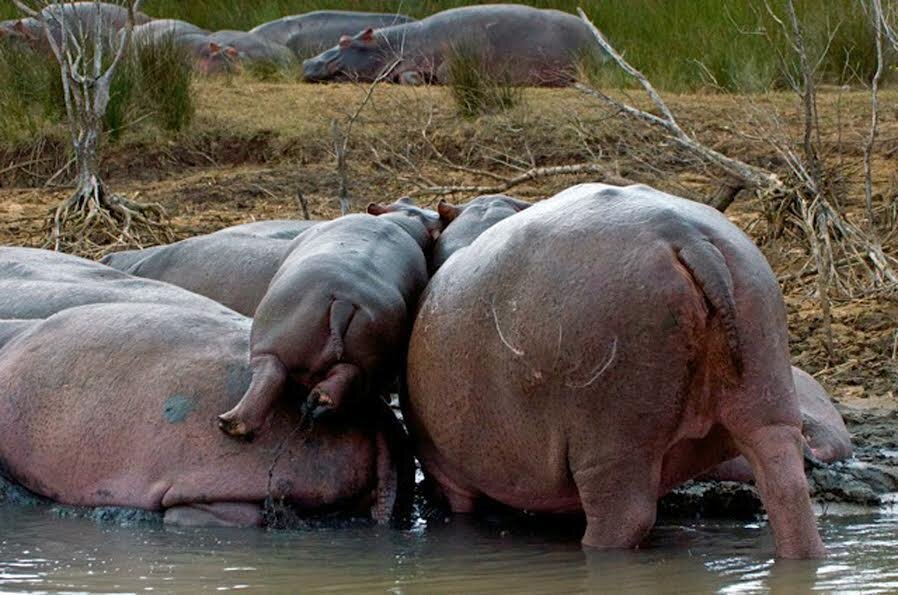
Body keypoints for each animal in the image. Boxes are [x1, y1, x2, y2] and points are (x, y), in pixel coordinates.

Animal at [218, 198, 442, 439]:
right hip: (363, 358)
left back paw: (228, 422)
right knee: (342, 380)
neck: (403, 221)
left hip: (271, 346)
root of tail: (344, 302)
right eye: (405, 200)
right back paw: (319, 402)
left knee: (268, 376)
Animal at [405, 183, 825, 558]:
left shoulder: (446, 472)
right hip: (766, 395)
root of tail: (688, 238)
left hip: (613, 437)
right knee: (787, 487)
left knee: (625, 517)